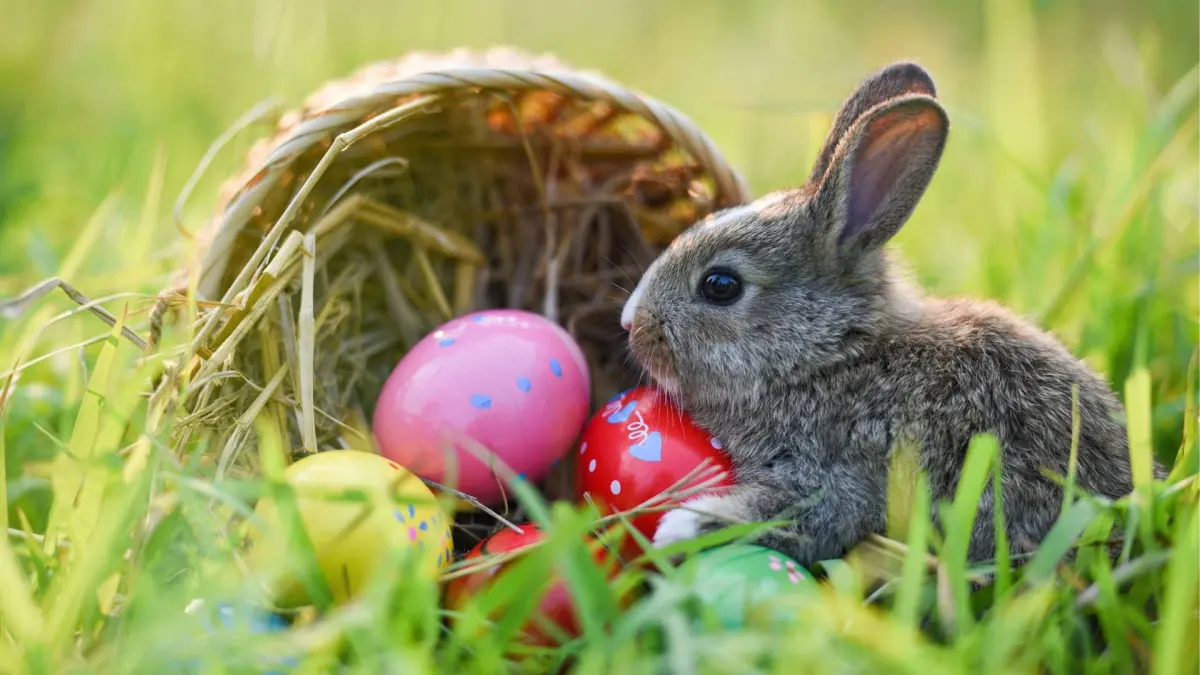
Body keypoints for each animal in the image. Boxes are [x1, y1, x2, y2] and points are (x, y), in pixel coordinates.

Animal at [618, 61, 1164, 567]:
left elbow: (806, 513)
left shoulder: (835, 470)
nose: (631, 324)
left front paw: (678, 528)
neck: (830, 356)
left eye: (721, 286)